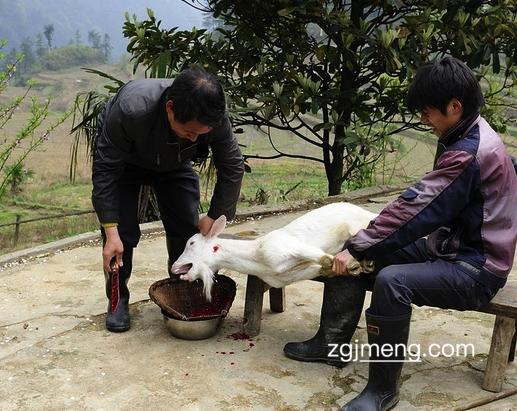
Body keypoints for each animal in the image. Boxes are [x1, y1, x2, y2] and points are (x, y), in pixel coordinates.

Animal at [171, 202, 376, 300]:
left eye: (191, 243)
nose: (174, 267)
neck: (258, 258)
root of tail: (369, 213)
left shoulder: (287, 246)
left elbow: (322, 256)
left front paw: (350, 264)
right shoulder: (289, 276)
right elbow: (322, 267)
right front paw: (353, 267)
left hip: (357, 226)